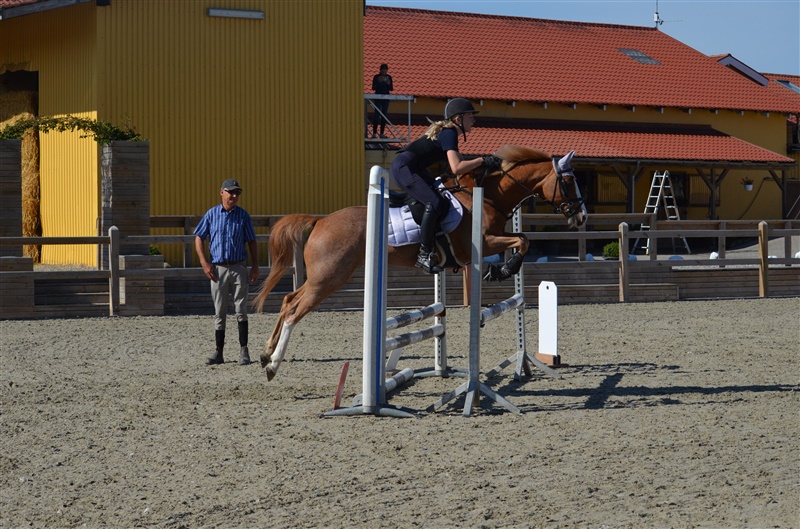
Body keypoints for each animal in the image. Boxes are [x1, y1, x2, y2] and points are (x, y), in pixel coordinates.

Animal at [253, 145, 587, 380]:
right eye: (570, 181)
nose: (582, 217)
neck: (490, 195)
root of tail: (320, 221)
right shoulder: (478, 245)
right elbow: (522, 242)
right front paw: (502, 269)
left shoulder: (494, 236)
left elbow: (523, 238)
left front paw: (502, 269)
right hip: (330, 277)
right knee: (294, 311)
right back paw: (273, 365)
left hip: (324, 276)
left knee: (287, 299)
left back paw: (266, 353)